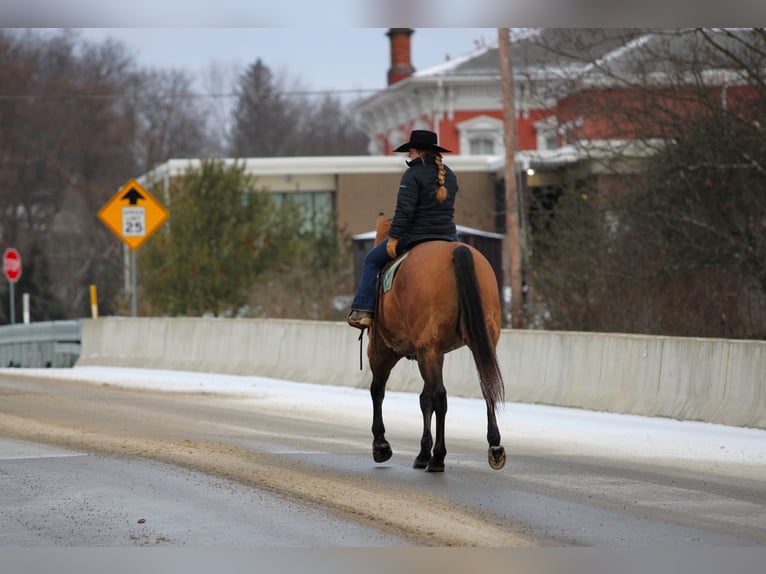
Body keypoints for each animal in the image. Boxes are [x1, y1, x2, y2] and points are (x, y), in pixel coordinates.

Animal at [365, 214, 506, 472]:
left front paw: (381, 445)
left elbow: (379, 390)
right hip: (478, 341)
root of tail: (458, 251)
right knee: (485, 386)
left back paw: (438, 457)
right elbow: (425, 398)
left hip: (417, 349)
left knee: (439, 395)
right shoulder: (433, 352)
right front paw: (423, 452)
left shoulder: (384, 350)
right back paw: (494, 446)